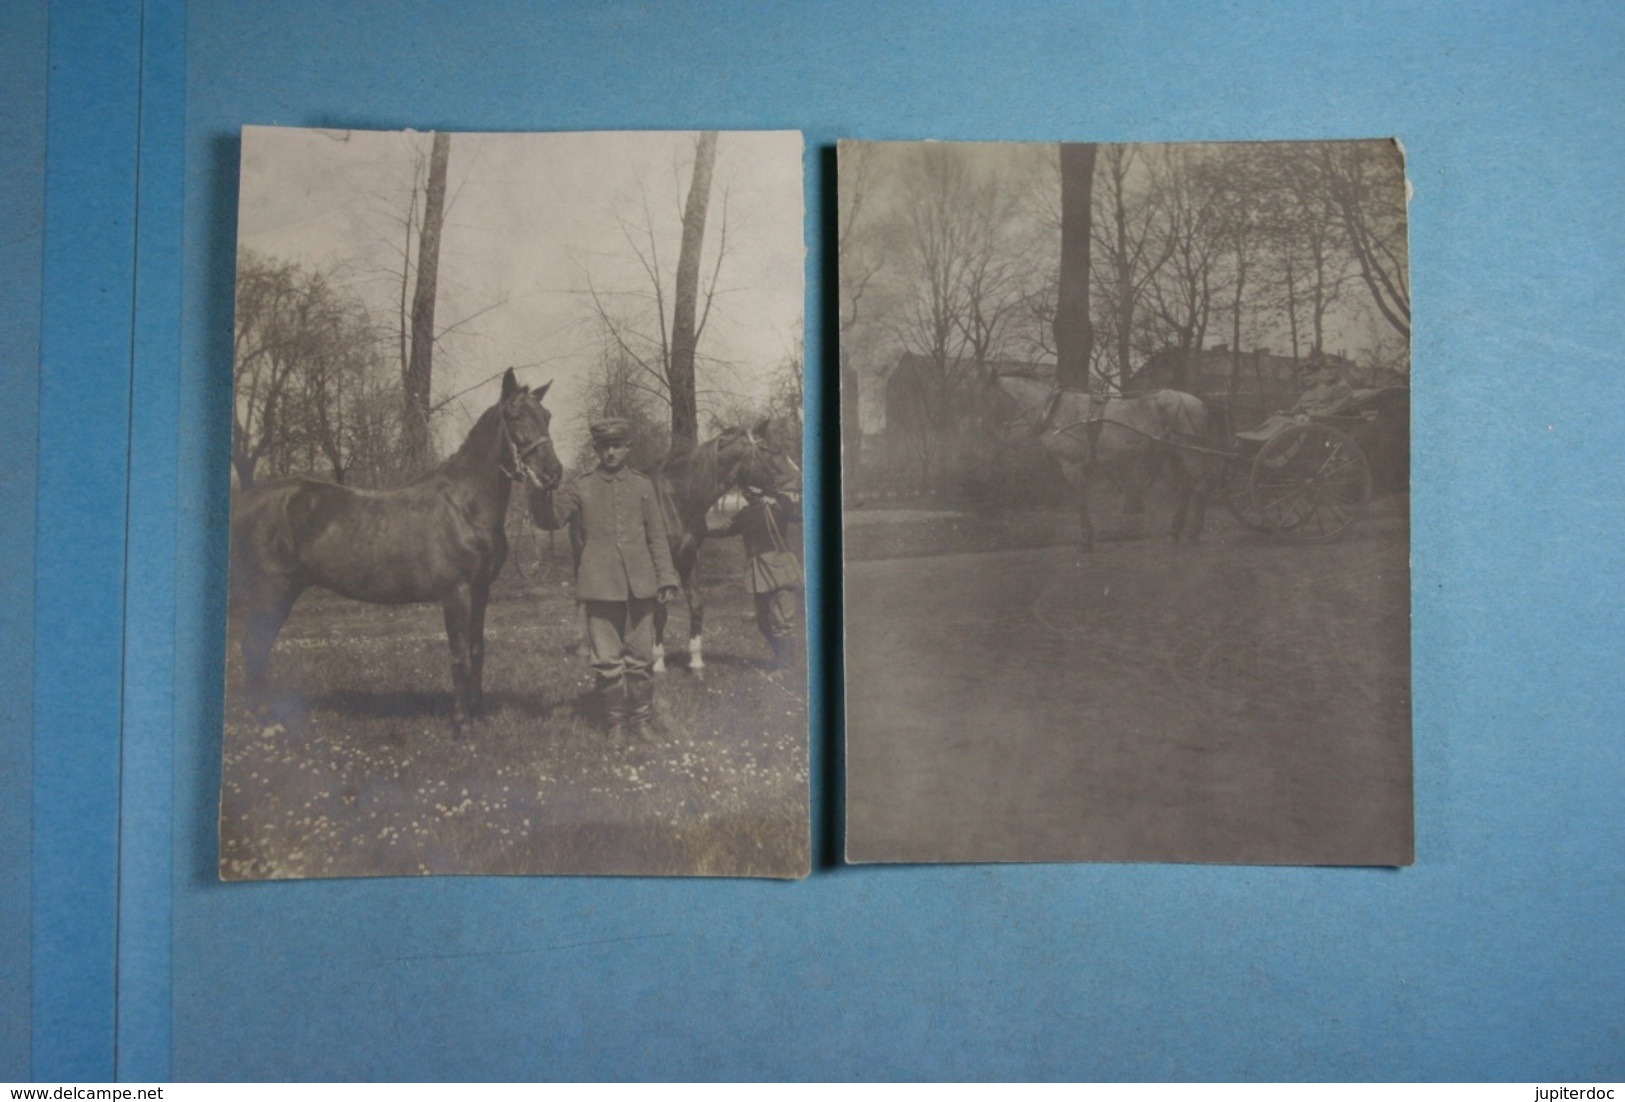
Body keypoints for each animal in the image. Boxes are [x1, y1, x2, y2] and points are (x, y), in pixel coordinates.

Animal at [225, 368, 562, 734]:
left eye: (547, 416)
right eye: (515, 417)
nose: (553, 473)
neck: (465, 505)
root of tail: (248, 502)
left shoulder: (480, 591)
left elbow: (477, 650)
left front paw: (479, 717)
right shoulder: (456, 592)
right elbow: (459, 655)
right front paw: (462, 724)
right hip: (273, 591)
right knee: (254, 645)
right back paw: (262, 716)